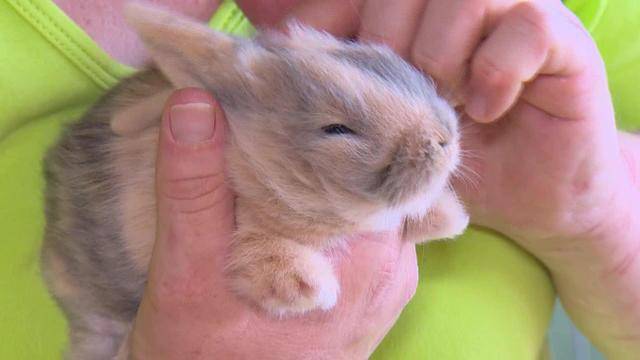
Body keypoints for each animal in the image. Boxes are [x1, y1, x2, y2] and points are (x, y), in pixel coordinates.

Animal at [42, 2, 468, 358]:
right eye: (337, 129)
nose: (443, 138)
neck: (257, 161)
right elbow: (260, 248)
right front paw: (307, 287)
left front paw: (450, 217)